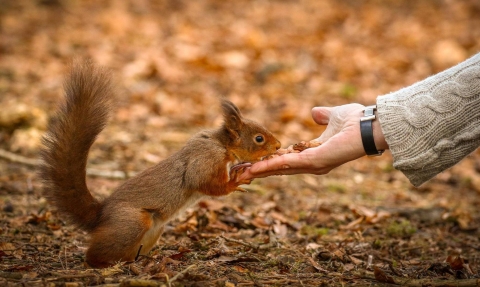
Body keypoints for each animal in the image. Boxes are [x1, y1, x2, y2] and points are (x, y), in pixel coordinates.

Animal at [42, 62, 282, 268]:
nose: (279, 146)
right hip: (131, 223)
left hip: (152, 232)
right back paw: (102, 263)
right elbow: (202, 181)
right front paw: (234, 181)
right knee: (95, 253)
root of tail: (101, 214)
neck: (221, 144)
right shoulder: (205, 158)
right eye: (259, 138)